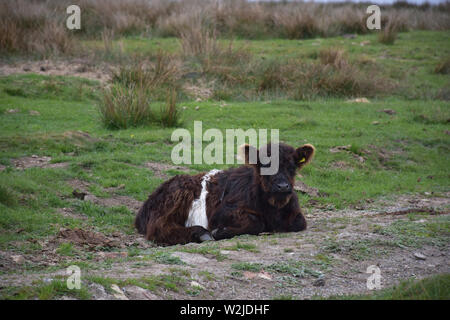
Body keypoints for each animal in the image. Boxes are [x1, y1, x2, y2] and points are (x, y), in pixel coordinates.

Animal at [135, 142, 314, 245]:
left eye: (292, 166)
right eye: (265, 165)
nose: (282, 186)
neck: (272, 209)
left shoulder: (295, 214)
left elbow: (299, 222)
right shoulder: (223, 212)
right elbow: (256, 222)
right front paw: (220, 232)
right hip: (178, 195)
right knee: (158, 227)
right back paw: (201, 233)